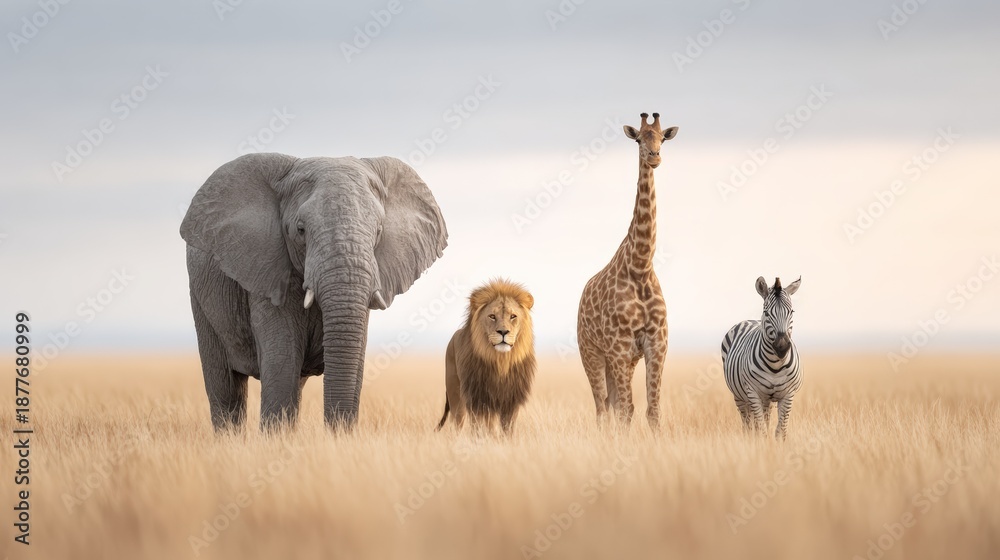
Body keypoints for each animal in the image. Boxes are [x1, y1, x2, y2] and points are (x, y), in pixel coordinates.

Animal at [180, 153, 447, 430]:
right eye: (300, 230)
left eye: (379, 232)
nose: (336, 433)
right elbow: (283, 358)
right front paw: (276, 438)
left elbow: (355, 359)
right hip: (201, 299)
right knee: (225, 387)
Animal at [436, 278, 536, 434]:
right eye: (492, 316)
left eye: (513, 316)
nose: (503, 332)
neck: (501, 361)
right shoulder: (477, 398)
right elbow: (478, 427)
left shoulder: (511, 400)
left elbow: (508, 429)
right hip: (455, 395)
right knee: (457, 422)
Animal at [722, 276, 802, 440]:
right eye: (766, 312)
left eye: (791, 311)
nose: (782, 346)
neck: (776, 365)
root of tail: (749, 320)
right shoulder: (753, 393)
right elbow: (761, 430)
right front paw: (761, 445)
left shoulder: (788, 395)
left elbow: (780, 431)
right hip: (740, 396)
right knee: (747, 423)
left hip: (766, 399)